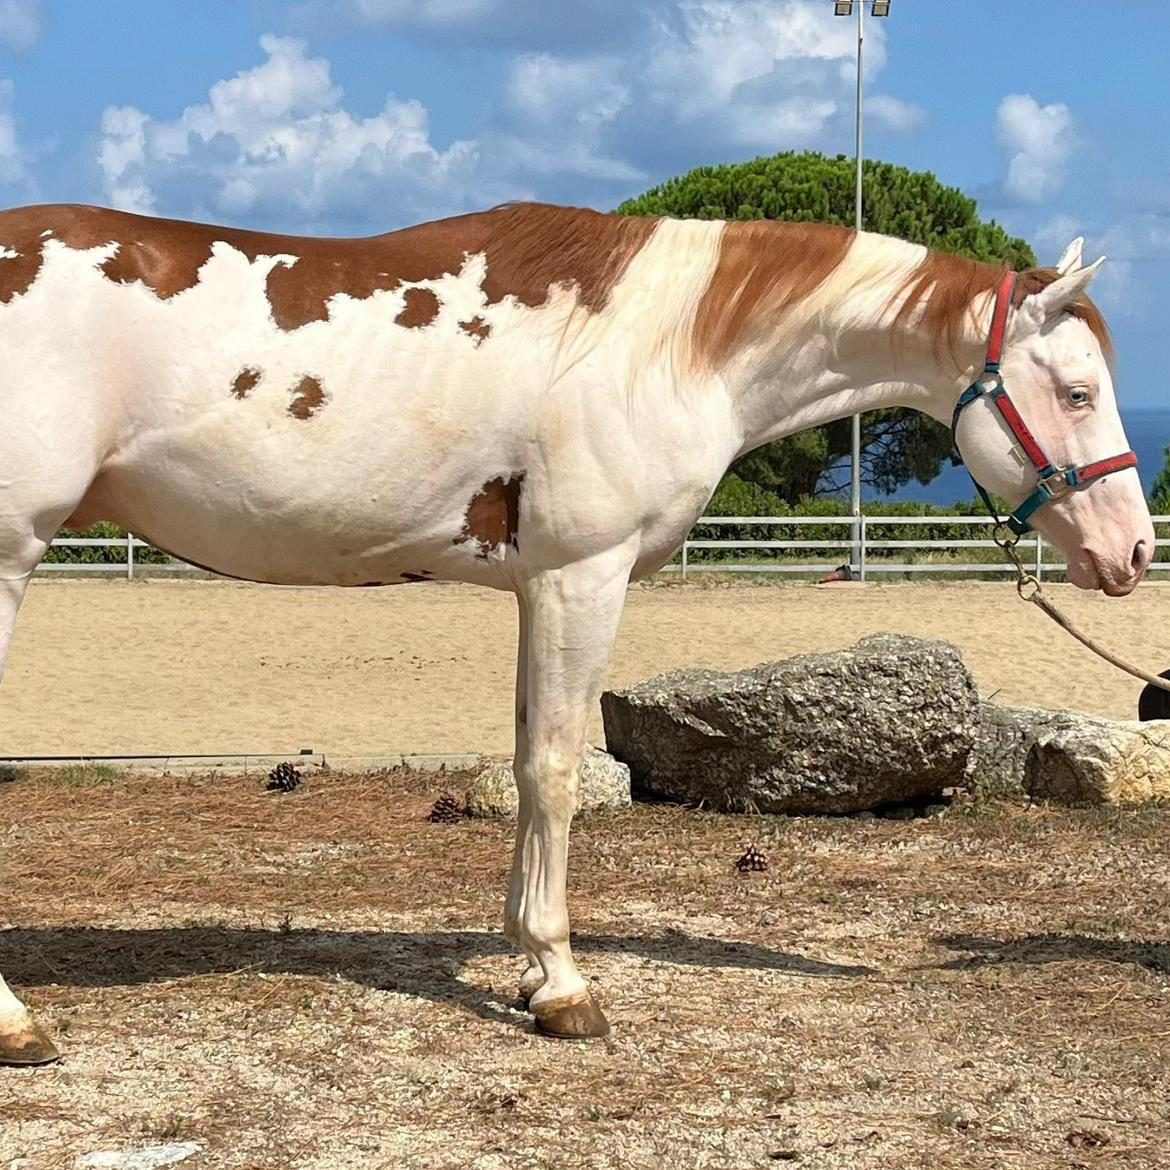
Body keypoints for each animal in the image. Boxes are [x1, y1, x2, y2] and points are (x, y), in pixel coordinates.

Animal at [0, 201, 1153, 1061]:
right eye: (1078, 391)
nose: (1133, 552)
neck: (665, 342)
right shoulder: (581, 580)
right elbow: (557, 770)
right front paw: (562, 986)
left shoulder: (537, 591)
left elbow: (523, 761)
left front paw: (523, 963)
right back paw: (19, 1025)